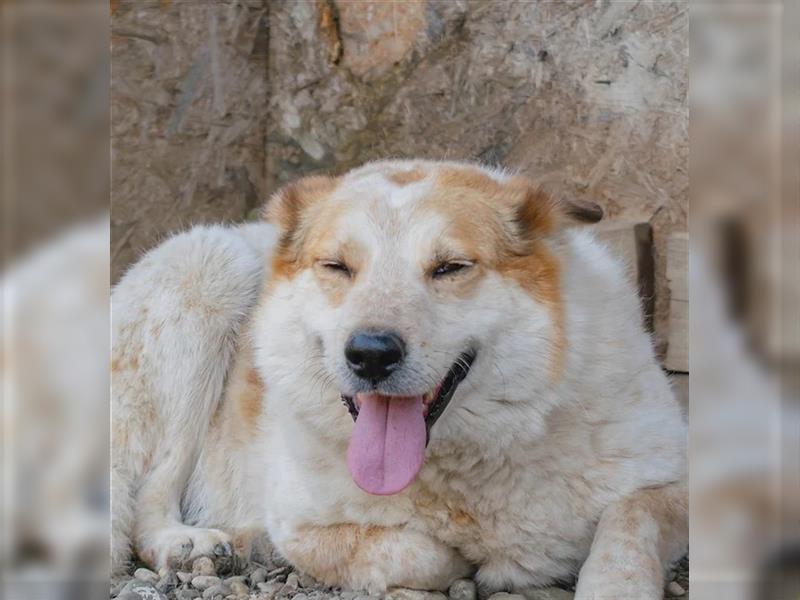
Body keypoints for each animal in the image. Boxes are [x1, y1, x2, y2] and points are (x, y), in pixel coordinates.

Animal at [112, 158, 688, 596]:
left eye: (450, 267)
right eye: (337, 267)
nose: (370, 354)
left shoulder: (670, 477)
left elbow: (630, 519)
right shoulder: (300, 524)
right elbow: (422, 552)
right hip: (214, 270)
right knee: (150, 494)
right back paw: (188, 542)